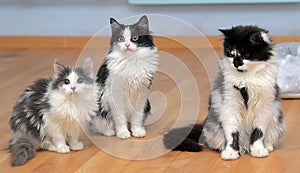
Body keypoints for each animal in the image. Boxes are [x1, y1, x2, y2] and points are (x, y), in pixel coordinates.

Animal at [164, 25, 286, 161]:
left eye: (245, 54)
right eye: (231, 55)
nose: (236, 63)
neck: (246, 79)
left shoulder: (264, 107)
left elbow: (258, 133)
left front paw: (258, 150)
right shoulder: (230, 106)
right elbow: (232, 133)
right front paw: (231, 152)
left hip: (276, 121)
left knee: (268, 138)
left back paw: (265, 147)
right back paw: (234, 149)